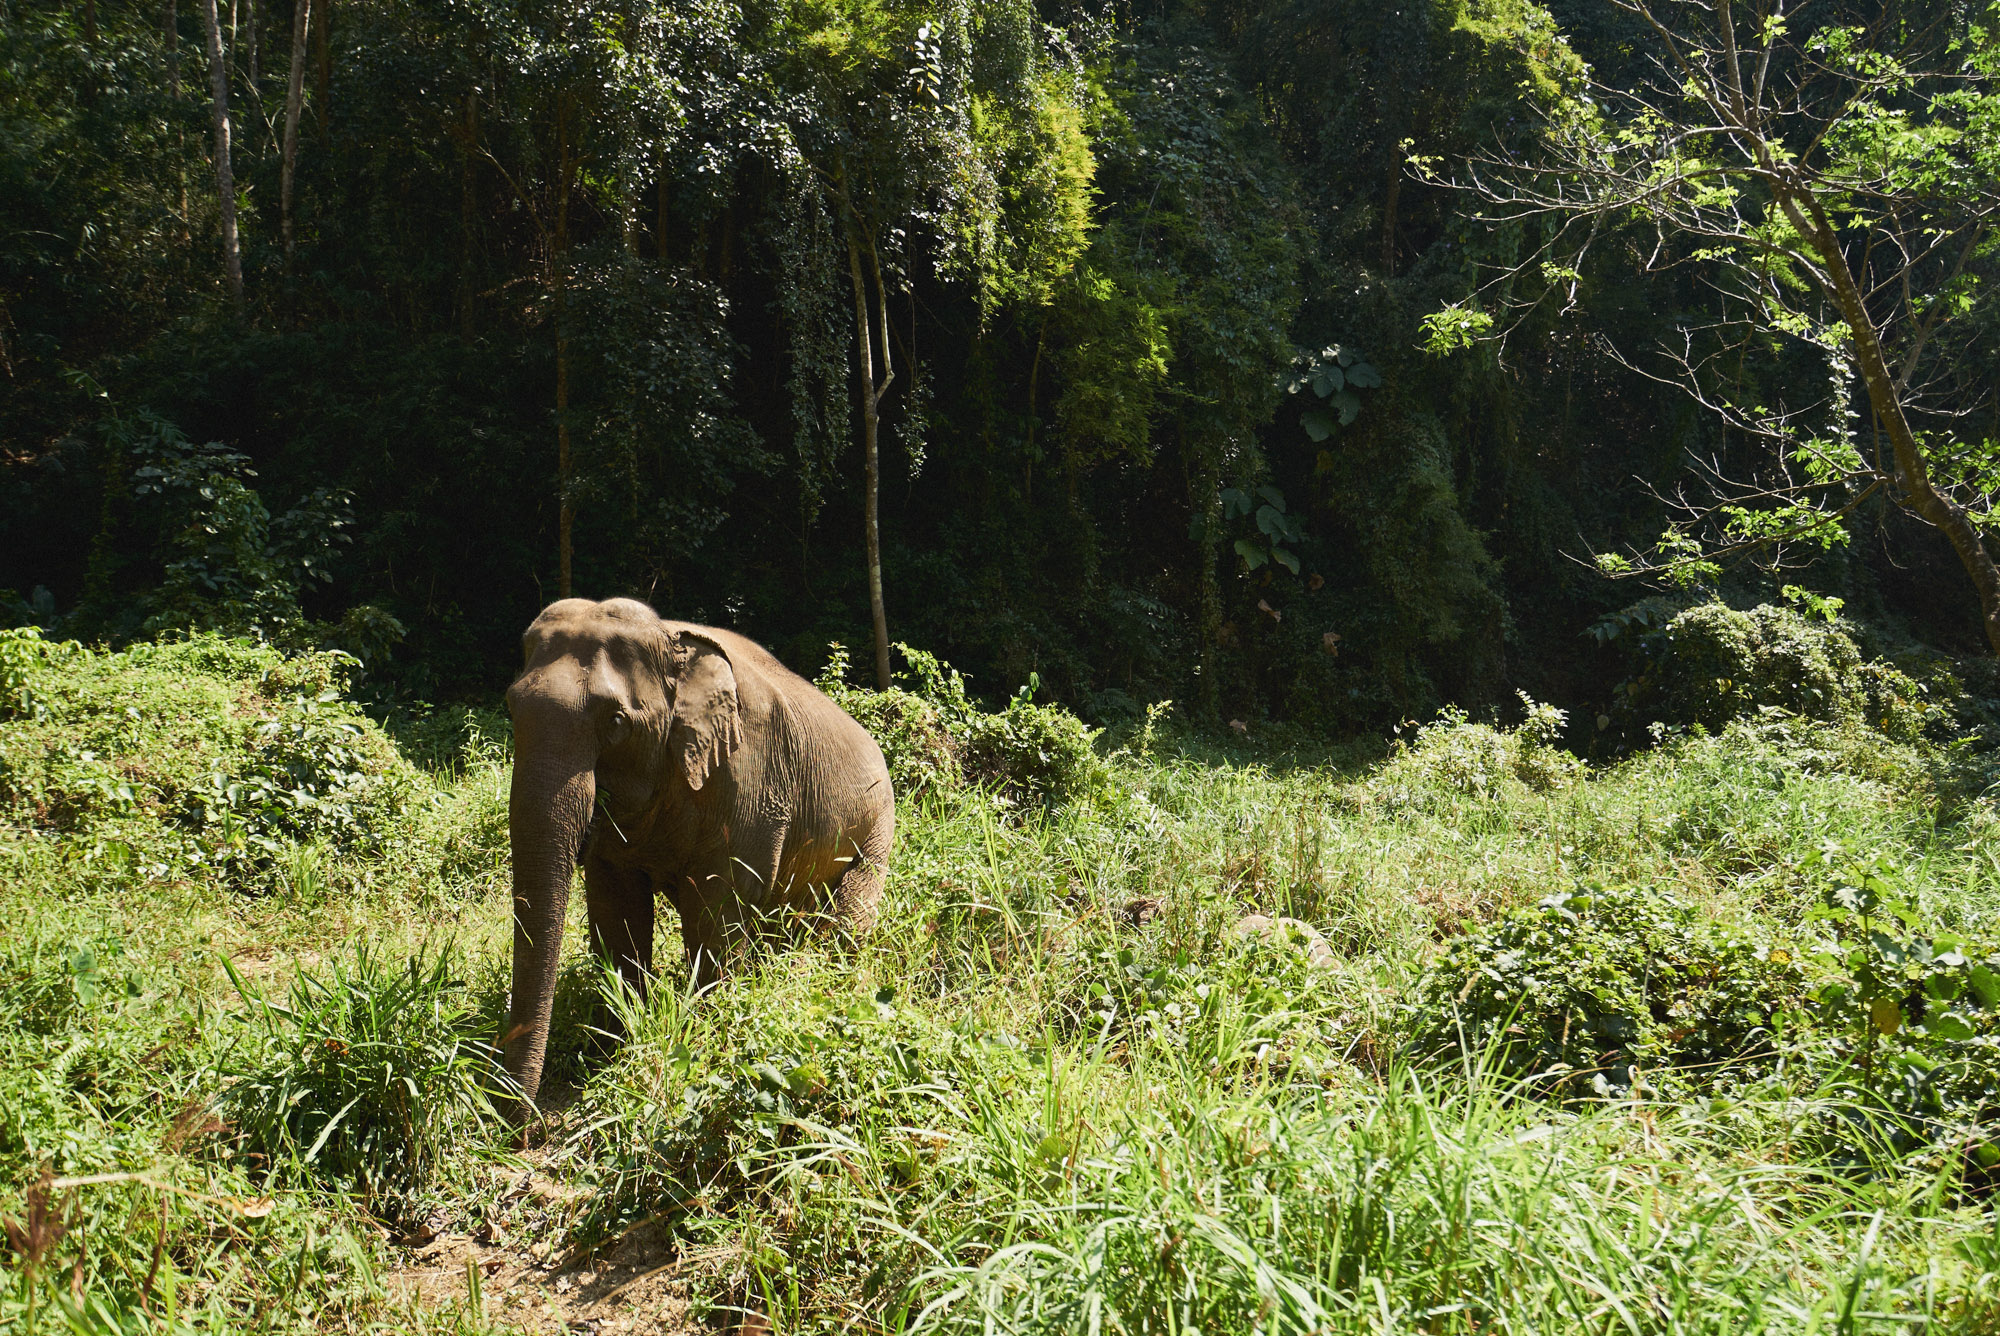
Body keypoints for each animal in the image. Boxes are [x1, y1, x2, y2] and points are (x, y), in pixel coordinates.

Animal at [504, 596, 896, 1104]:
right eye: (511, 709)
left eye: (616, 722)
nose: (518, 1122)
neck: (671, 639)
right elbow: (616, 910)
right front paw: (617, 1044)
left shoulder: (749, 781)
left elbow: (715, 914)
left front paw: (706, 1039)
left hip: (877, 826)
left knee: (847, 924)